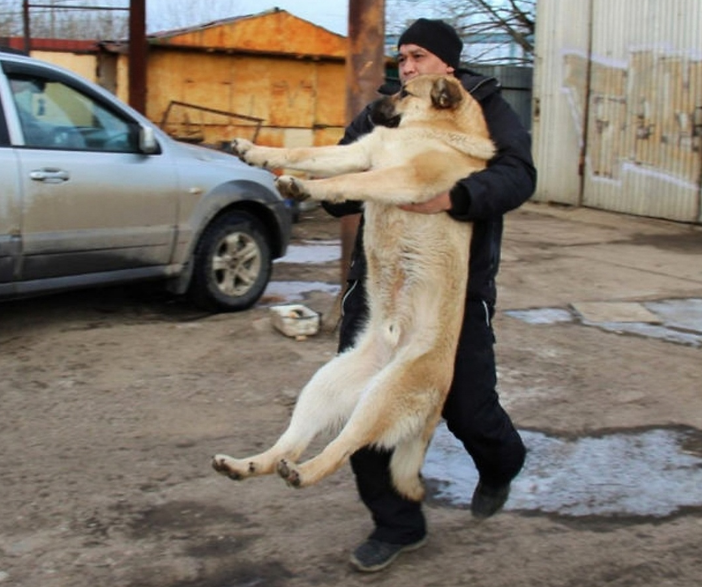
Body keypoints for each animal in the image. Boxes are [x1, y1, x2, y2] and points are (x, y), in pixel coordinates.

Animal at [213, 74, 496, 500]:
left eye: (404, 91)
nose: (370, 104)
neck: (436, 132)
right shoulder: (359, 152)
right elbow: (307, 154)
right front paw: (254, 152)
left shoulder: (399, 177)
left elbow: (348, 181)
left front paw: (308, 188)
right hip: (322, 389)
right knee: (290, 445)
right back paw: (245, 465)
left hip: (379, 400)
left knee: (340, 449)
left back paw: (303, 473)